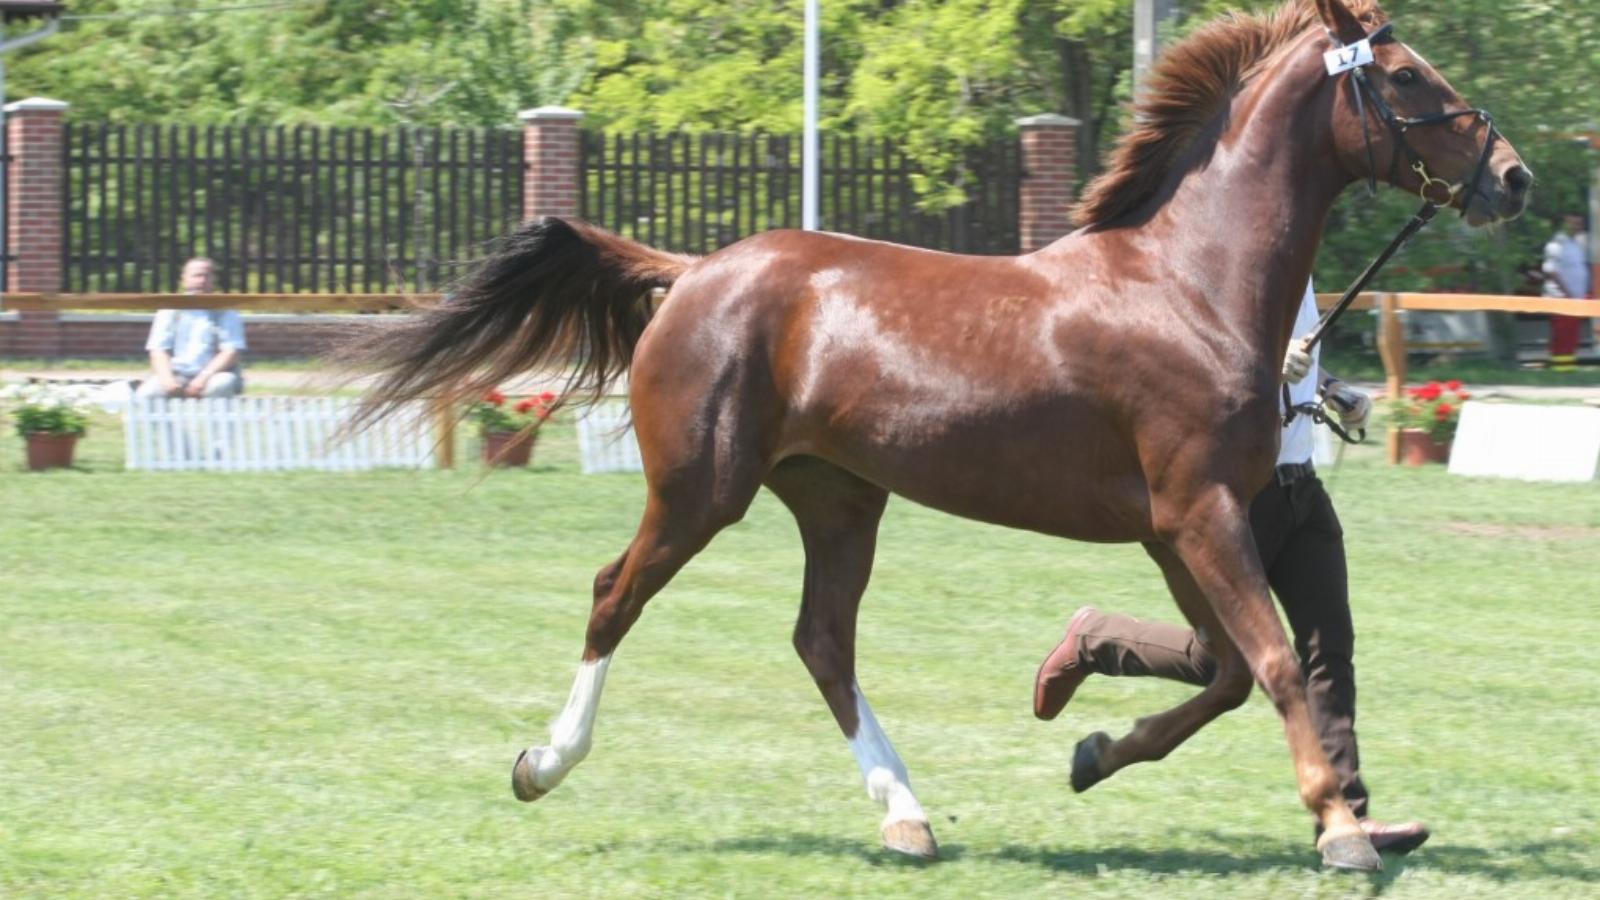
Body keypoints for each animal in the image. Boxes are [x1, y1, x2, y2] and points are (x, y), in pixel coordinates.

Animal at [350, 0, 1523, 871]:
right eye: (1405, 76)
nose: (1511, 177)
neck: (1188, 284)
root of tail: (688, 273)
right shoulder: (1199, 514)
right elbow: (1276, 662)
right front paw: (1340, 831)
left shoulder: (1177, 527)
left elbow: (1226, 670)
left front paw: (1090, 746)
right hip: (699, 491)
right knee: (615, 597)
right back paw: (542, 764)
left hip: (837, 498)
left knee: (821, 640)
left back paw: (905, 816)